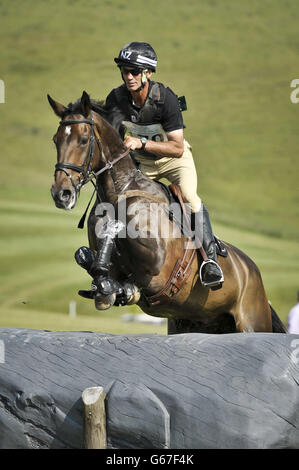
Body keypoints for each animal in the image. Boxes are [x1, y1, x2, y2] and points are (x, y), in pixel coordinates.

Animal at [48, 91, 288, 334]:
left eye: (83, 140)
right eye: (56, 140)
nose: (61, 194)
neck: (117, 194)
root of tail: (252, 272)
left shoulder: (156, 261)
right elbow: (87, 258)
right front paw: (107, 285)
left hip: (251, 322)